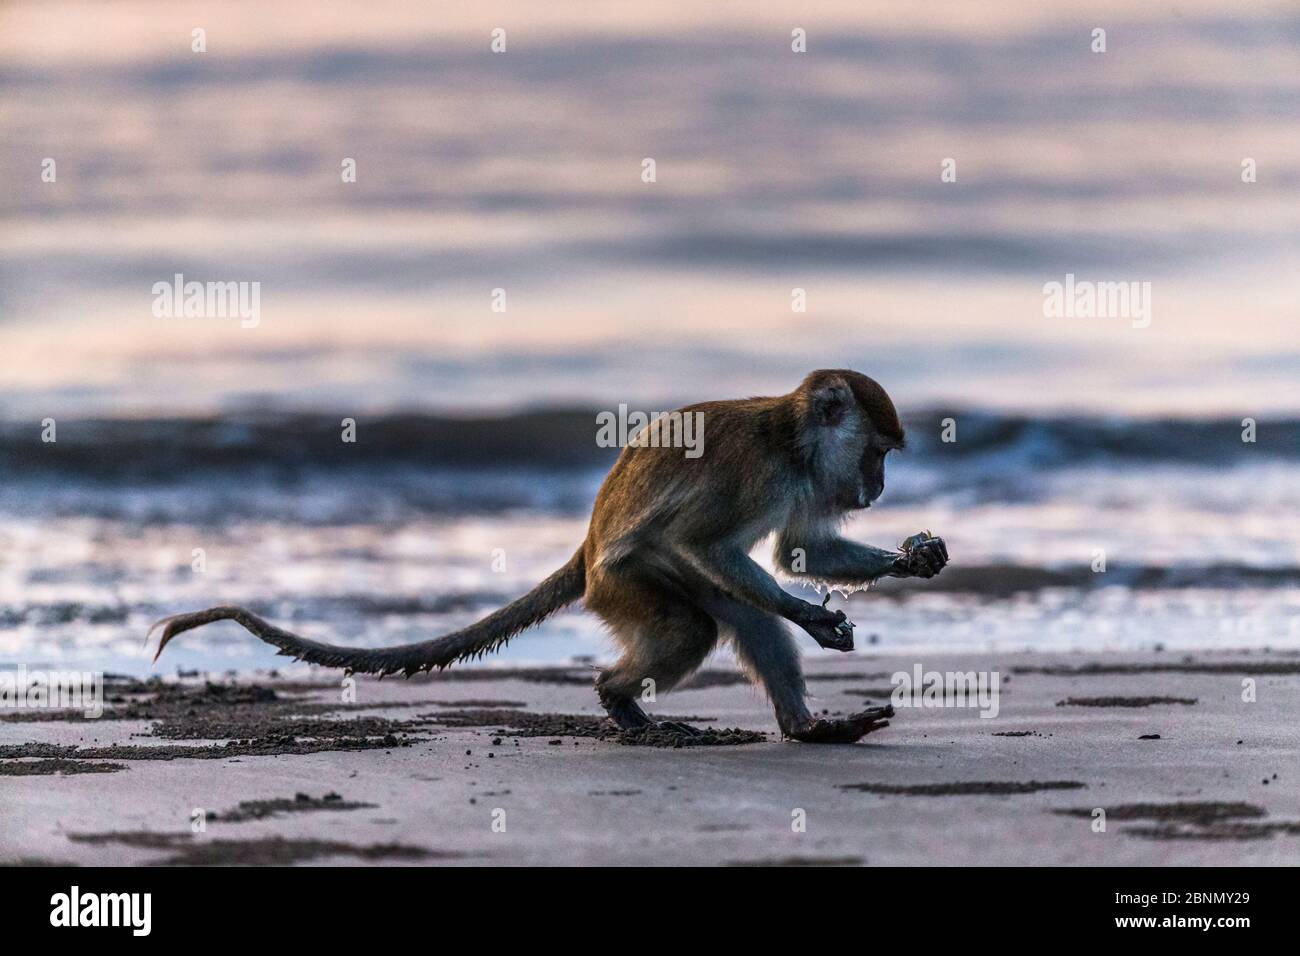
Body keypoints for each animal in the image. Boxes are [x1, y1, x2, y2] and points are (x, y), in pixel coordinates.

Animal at [150, 369, 949, 743]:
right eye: (877, 453)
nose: (878, 486)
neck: (793, 439)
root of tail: (589, 545)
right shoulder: (758, 470)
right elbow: (705, 542)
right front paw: (815, 619)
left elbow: (800, 548)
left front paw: (913, 561)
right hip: (622, 581)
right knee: (691, 619)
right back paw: (616, 698)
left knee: (729, 614)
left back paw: (807, 729)